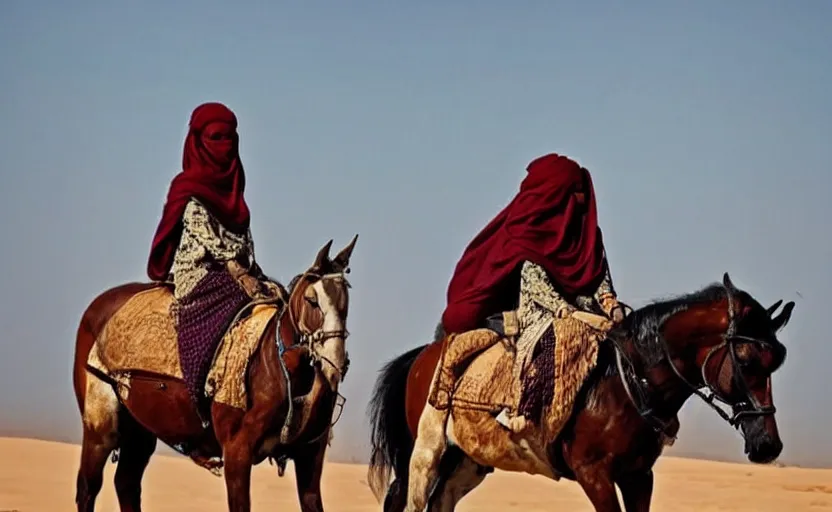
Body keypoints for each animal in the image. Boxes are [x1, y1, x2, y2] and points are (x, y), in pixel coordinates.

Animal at [72, 237, 358, 512]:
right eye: (312, 301)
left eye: (345, 305)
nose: (335, 363)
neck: (278, 366)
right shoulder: (236, 452)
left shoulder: (310, 456)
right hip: (100, 424)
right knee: (89, 486)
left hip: (140, 430)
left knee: (127, 483)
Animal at [368, 274, 792, 512]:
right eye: (747, 360)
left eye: (777, 361)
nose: (768, 444)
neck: (625, 383)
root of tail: (421, 357)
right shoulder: (594, 473)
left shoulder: (639, 475)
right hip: (424, 452)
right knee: (406, 501)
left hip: (467, 461)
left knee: (440, 503)